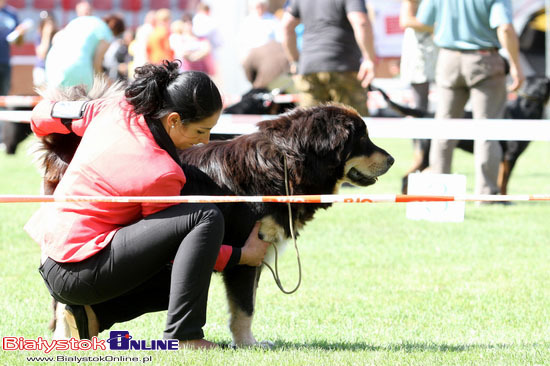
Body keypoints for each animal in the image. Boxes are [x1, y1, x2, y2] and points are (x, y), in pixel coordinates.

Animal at [370, 76, 550, 194]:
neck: (524, 109)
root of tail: (425, 113)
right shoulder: (510, 156)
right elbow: (504, 181)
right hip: (426, 155)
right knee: (405, 178)